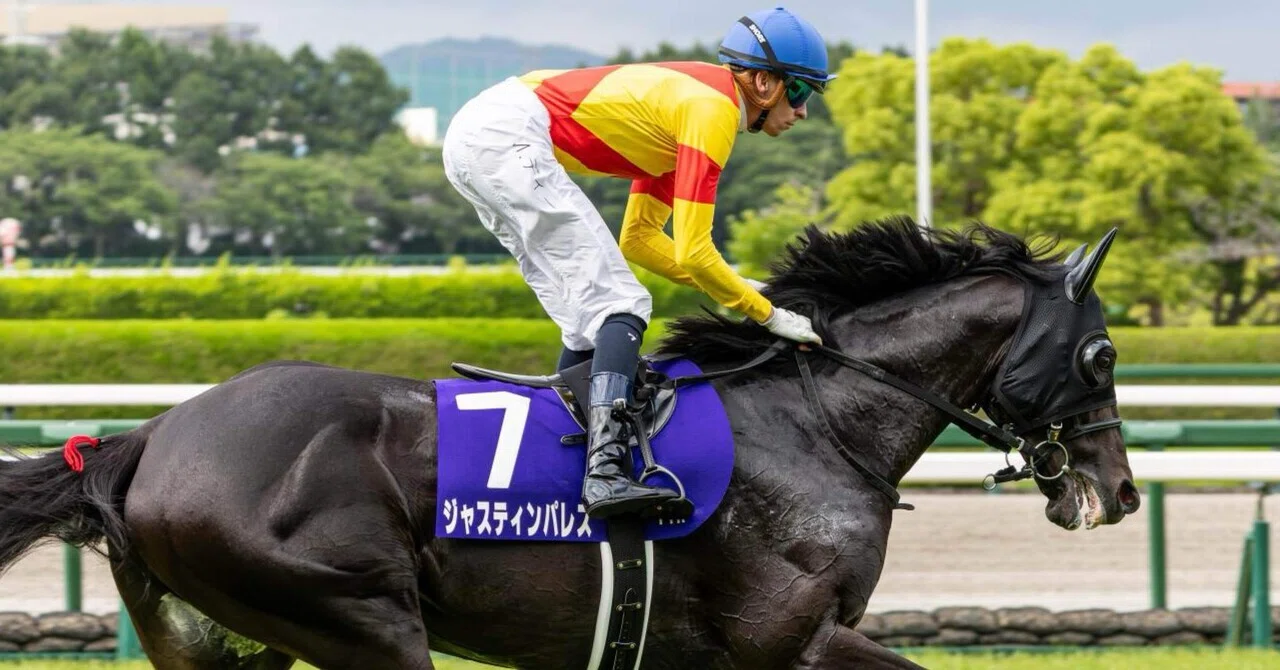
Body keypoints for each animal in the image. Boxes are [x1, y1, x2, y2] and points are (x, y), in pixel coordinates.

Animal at [0, 218, 1139, 669]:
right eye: (1101, 353)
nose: (1119, 492)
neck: (816, 423)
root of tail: (152, 435)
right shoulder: (788, 637)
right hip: (359, 617)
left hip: (225, 638)